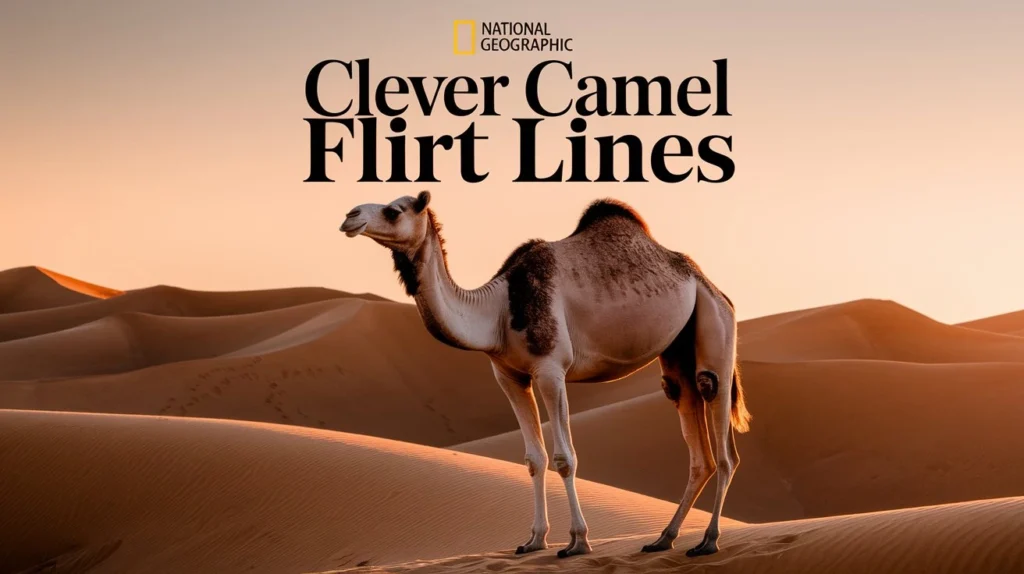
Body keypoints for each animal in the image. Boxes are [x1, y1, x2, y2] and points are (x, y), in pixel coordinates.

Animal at [340, 191, 751, 558]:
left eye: (395, 210)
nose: (349, 216)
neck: (498, 309)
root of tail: (713, 286)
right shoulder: (509, 376)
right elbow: (533, 459)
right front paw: (534, 540)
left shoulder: (551, 368)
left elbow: (564, 458)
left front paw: (577, 542)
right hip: (678, 349)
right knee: (696, 440)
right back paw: (663, 539)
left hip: (715, 324)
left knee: (722, 436)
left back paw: (707, 541)